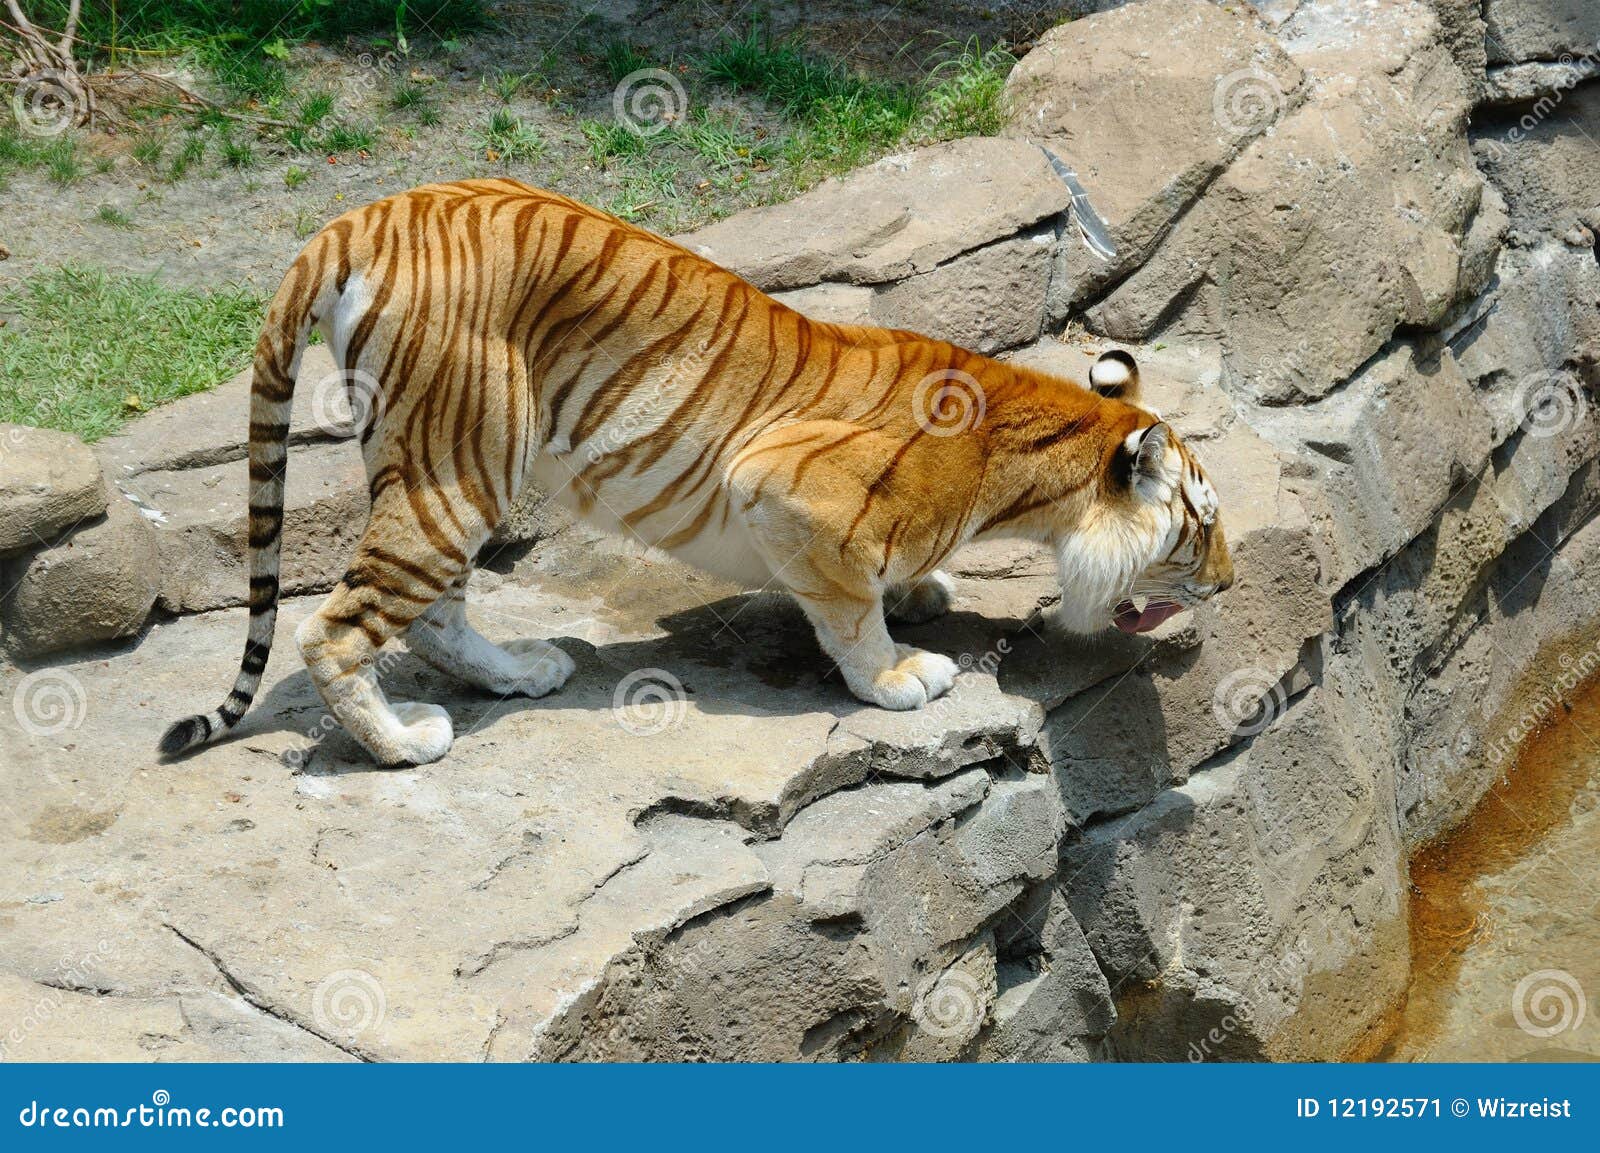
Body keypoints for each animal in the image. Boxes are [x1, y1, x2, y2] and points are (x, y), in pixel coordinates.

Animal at [159, 178, 1233, 767]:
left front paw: (923, 591)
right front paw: (896, 676)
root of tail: (363, 216)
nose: (1227, 583)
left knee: (429, 612)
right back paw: (403, 745)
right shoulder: (782, 484)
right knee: (334, 626)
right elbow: (849, 611)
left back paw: (523, 672)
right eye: (1202, 524)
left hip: (448, 463)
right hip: (457, 461)